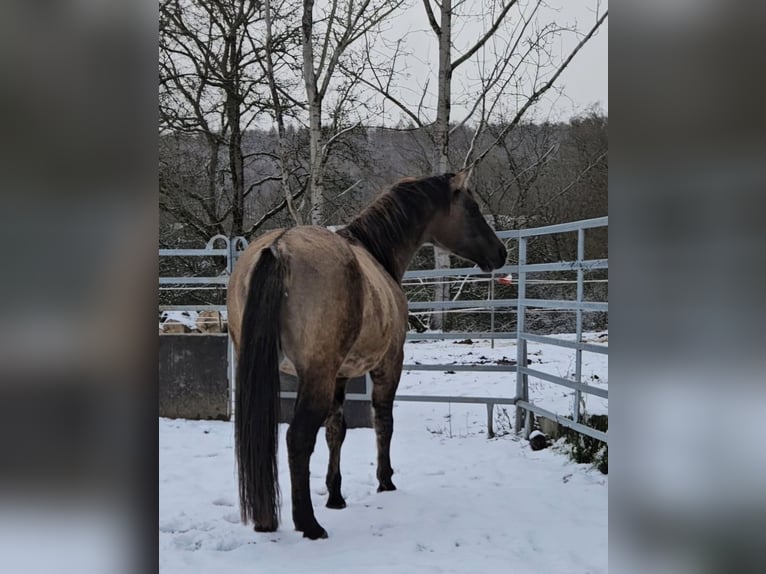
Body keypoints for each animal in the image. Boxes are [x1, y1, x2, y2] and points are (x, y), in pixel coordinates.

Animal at [227, 171, 507, 539]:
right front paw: (385, 481)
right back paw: (309, 524)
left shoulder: (341, 375)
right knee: (297, 439)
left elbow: (336, 430)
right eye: (472, 208)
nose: (501, 253)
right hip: (315, 376)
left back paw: (265, 521)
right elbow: (383, 421)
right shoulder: (389, 363)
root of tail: (279, 248)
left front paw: (335, 495)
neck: (375, 252)